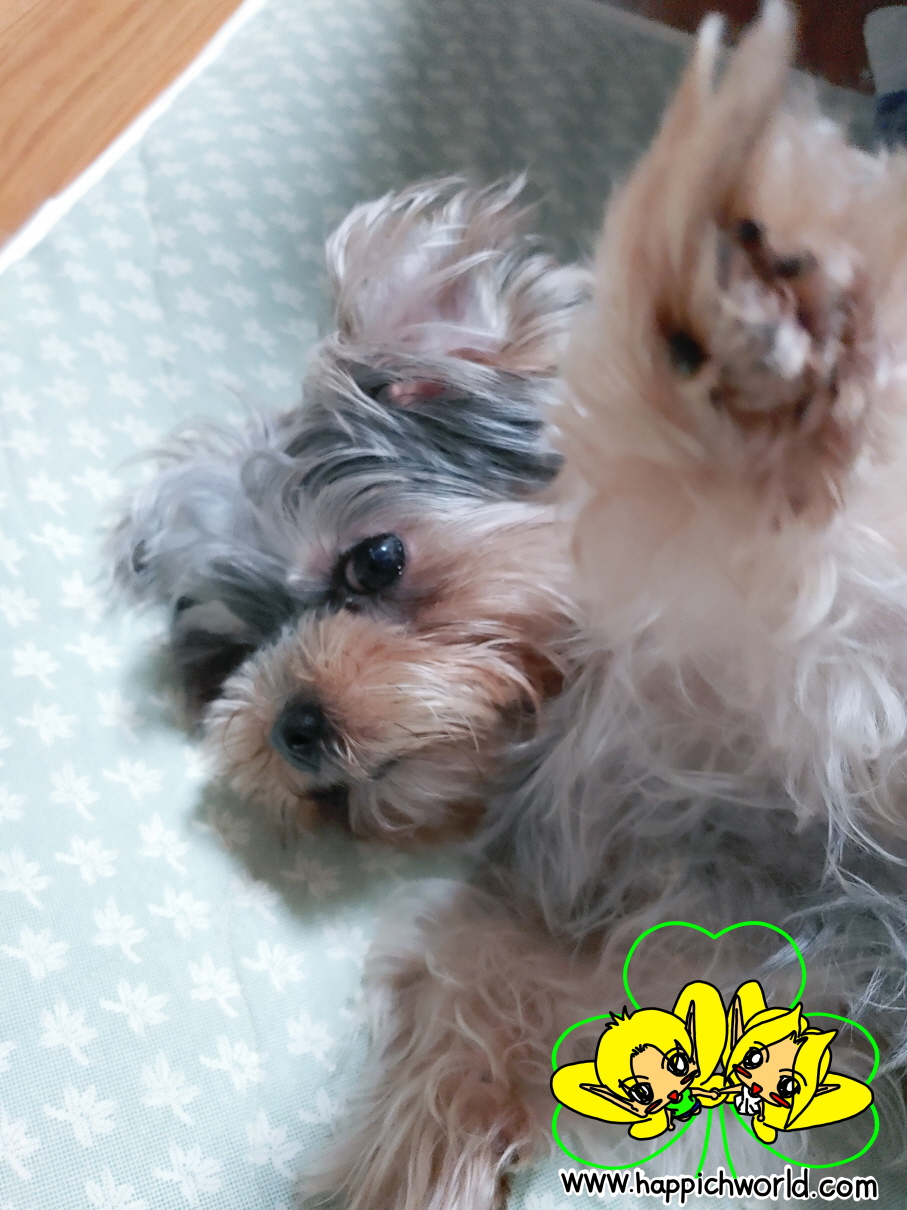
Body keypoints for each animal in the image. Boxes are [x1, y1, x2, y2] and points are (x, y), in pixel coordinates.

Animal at [309, 5, 907, 1207]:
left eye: (371, 563)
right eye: (222, 661)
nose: (290, 727)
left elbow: (709, 475)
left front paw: (732, 284)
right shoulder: (662, 905)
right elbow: (484, 983)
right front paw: (409, 1154)